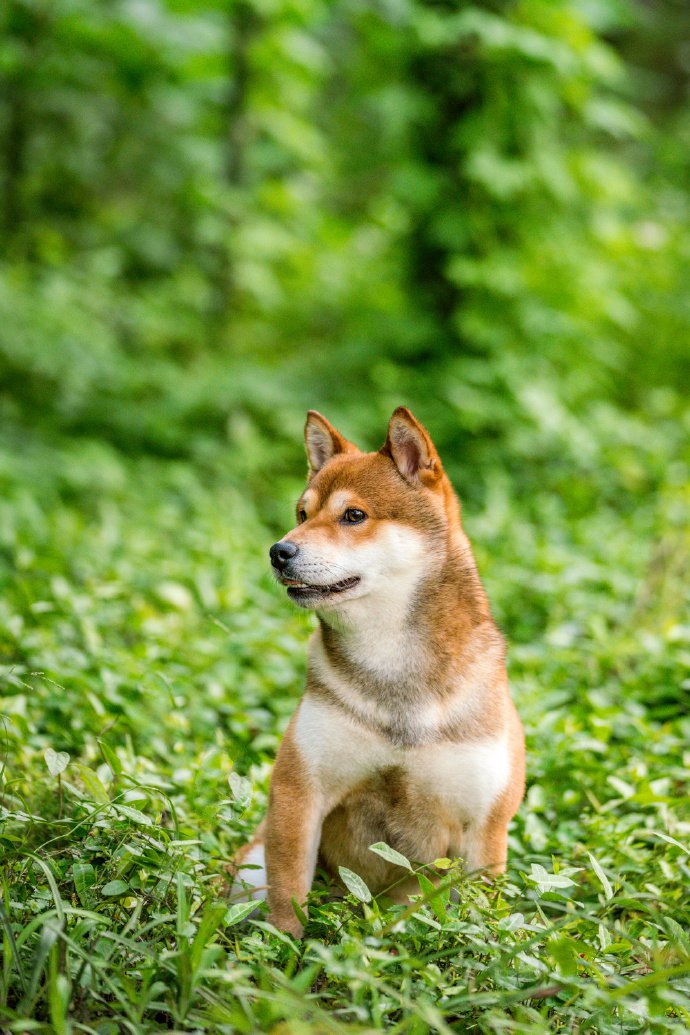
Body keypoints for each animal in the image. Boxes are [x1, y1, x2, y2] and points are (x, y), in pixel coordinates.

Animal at [234, 405, 525, 939]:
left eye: (354, 515)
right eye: (302, 514)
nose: (279, 551)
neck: (394, 670)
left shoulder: (483, 826)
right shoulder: (299, 795)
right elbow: (288, 893)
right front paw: (283, 949)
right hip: (250, 867)